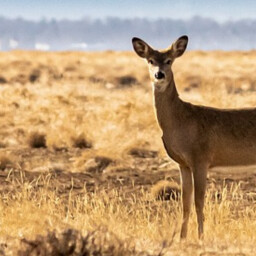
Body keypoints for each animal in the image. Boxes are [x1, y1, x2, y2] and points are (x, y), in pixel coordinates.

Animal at [132, 35, 256, 240]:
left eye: (169, 60)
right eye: (150, 60)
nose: (159, 75)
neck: (180, 122)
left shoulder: (201, 159)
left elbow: (199, 202)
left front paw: (201, 237)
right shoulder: (183, 164)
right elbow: (185, 203)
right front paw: (181, 238)